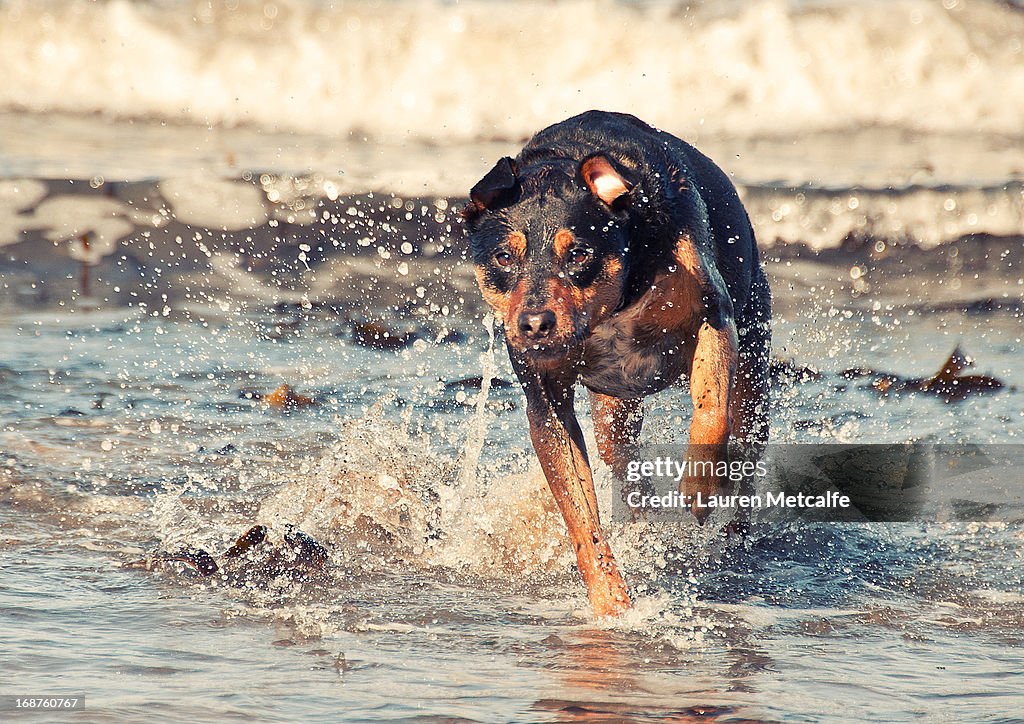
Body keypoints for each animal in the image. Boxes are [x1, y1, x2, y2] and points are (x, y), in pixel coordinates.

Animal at [462, 110, 770, 614]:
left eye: (578, 253)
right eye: (505, 256)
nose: (534, 323)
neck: (613, 306)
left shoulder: (712, 316)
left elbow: (710, 408)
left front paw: (699, 488)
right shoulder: (547, 403)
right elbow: (580, 518)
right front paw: (612, 605)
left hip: (754, 362)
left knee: (745, 443)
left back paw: (733, 532)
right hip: (613, 409)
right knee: (621, 457)